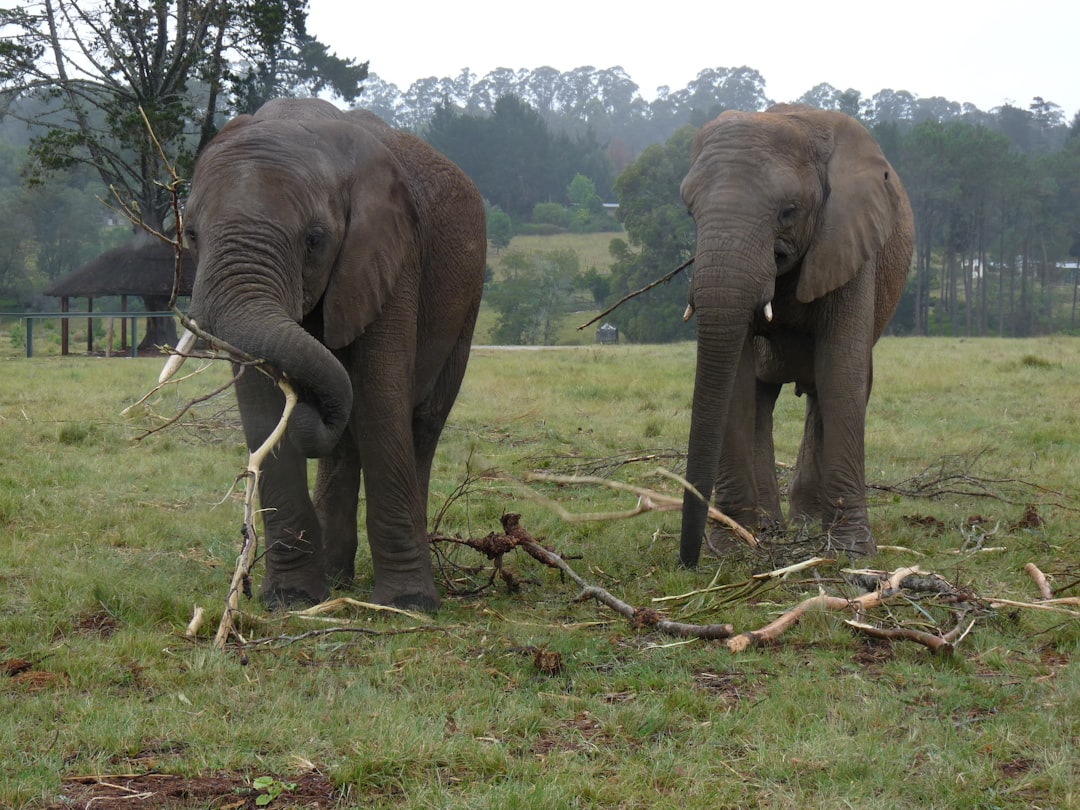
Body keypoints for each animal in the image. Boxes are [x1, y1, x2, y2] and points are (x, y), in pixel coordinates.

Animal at [181, 98, 486, 611]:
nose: (306, 402)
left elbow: (380, 395)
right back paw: (337, 578)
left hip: (469, 299)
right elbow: (264, 406)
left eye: (315, 239)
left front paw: (408, 604)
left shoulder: (392, 253)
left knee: (421, 421)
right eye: (190, 236)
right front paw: (290, 599)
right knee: (346, 437)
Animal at [679, 104, 914, 566]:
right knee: (761, 397)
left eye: (788, 210)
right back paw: (770, 528)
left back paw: (804, 527)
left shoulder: (850, 242)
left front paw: (853, 553)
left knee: (830, 390)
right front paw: (733, 547)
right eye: (691, 211)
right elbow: (735, 381)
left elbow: (841, 372)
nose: (688, 561)